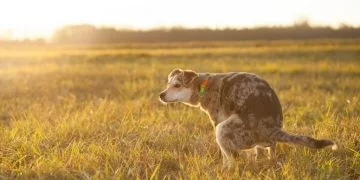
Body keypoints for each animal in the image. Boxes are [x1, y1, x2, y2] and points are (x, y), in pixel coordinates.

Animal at [159, 68, 336, 168]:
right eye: (168, 84)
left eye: (177, 85)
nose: (161, 95)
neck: (203, 85)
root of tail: (272, 128)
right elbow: (256, 152)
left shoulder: (217, 121)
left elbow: (225, 156)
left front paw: (223, 168)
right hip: (267, 141)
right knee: (271, 151)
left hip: (222, 129)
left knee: (232, 158)